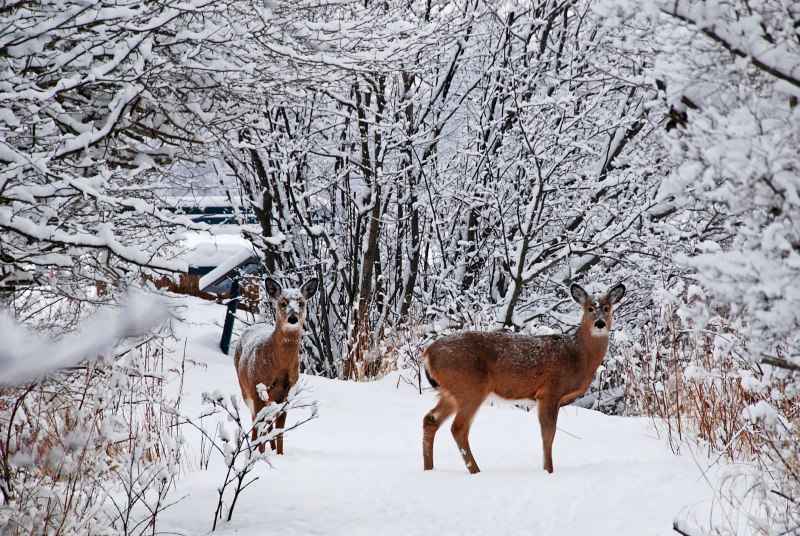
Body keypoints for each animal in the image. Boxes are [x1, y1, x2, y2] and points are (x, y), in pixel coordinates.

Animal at [234, 276, 318, 454]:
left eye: (301, 303)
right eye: (283, 302)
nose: (292, 318)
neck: (279, 366)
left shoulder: (287, 392)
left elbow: (279, 429)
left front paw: (279, 454)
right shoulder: (257, 387)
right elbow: (259, 424)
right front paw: (258, 454)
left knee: (269, 423)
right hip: (245, 389)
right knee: (256, 421)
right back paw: (255, 448)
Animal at [422, 282, 625, 474]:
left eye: (607, 308)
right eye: (590, 308)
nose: (600, 324)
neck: (577, 356)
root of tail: (428, 353)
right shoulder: (549, 392)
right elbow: (548, 434)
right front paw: (549, 470)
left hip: (452, 391)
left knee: (430, 419)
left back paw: (429, 469)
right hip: (470, 387)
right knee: (458, 428)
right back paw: (476, 471)